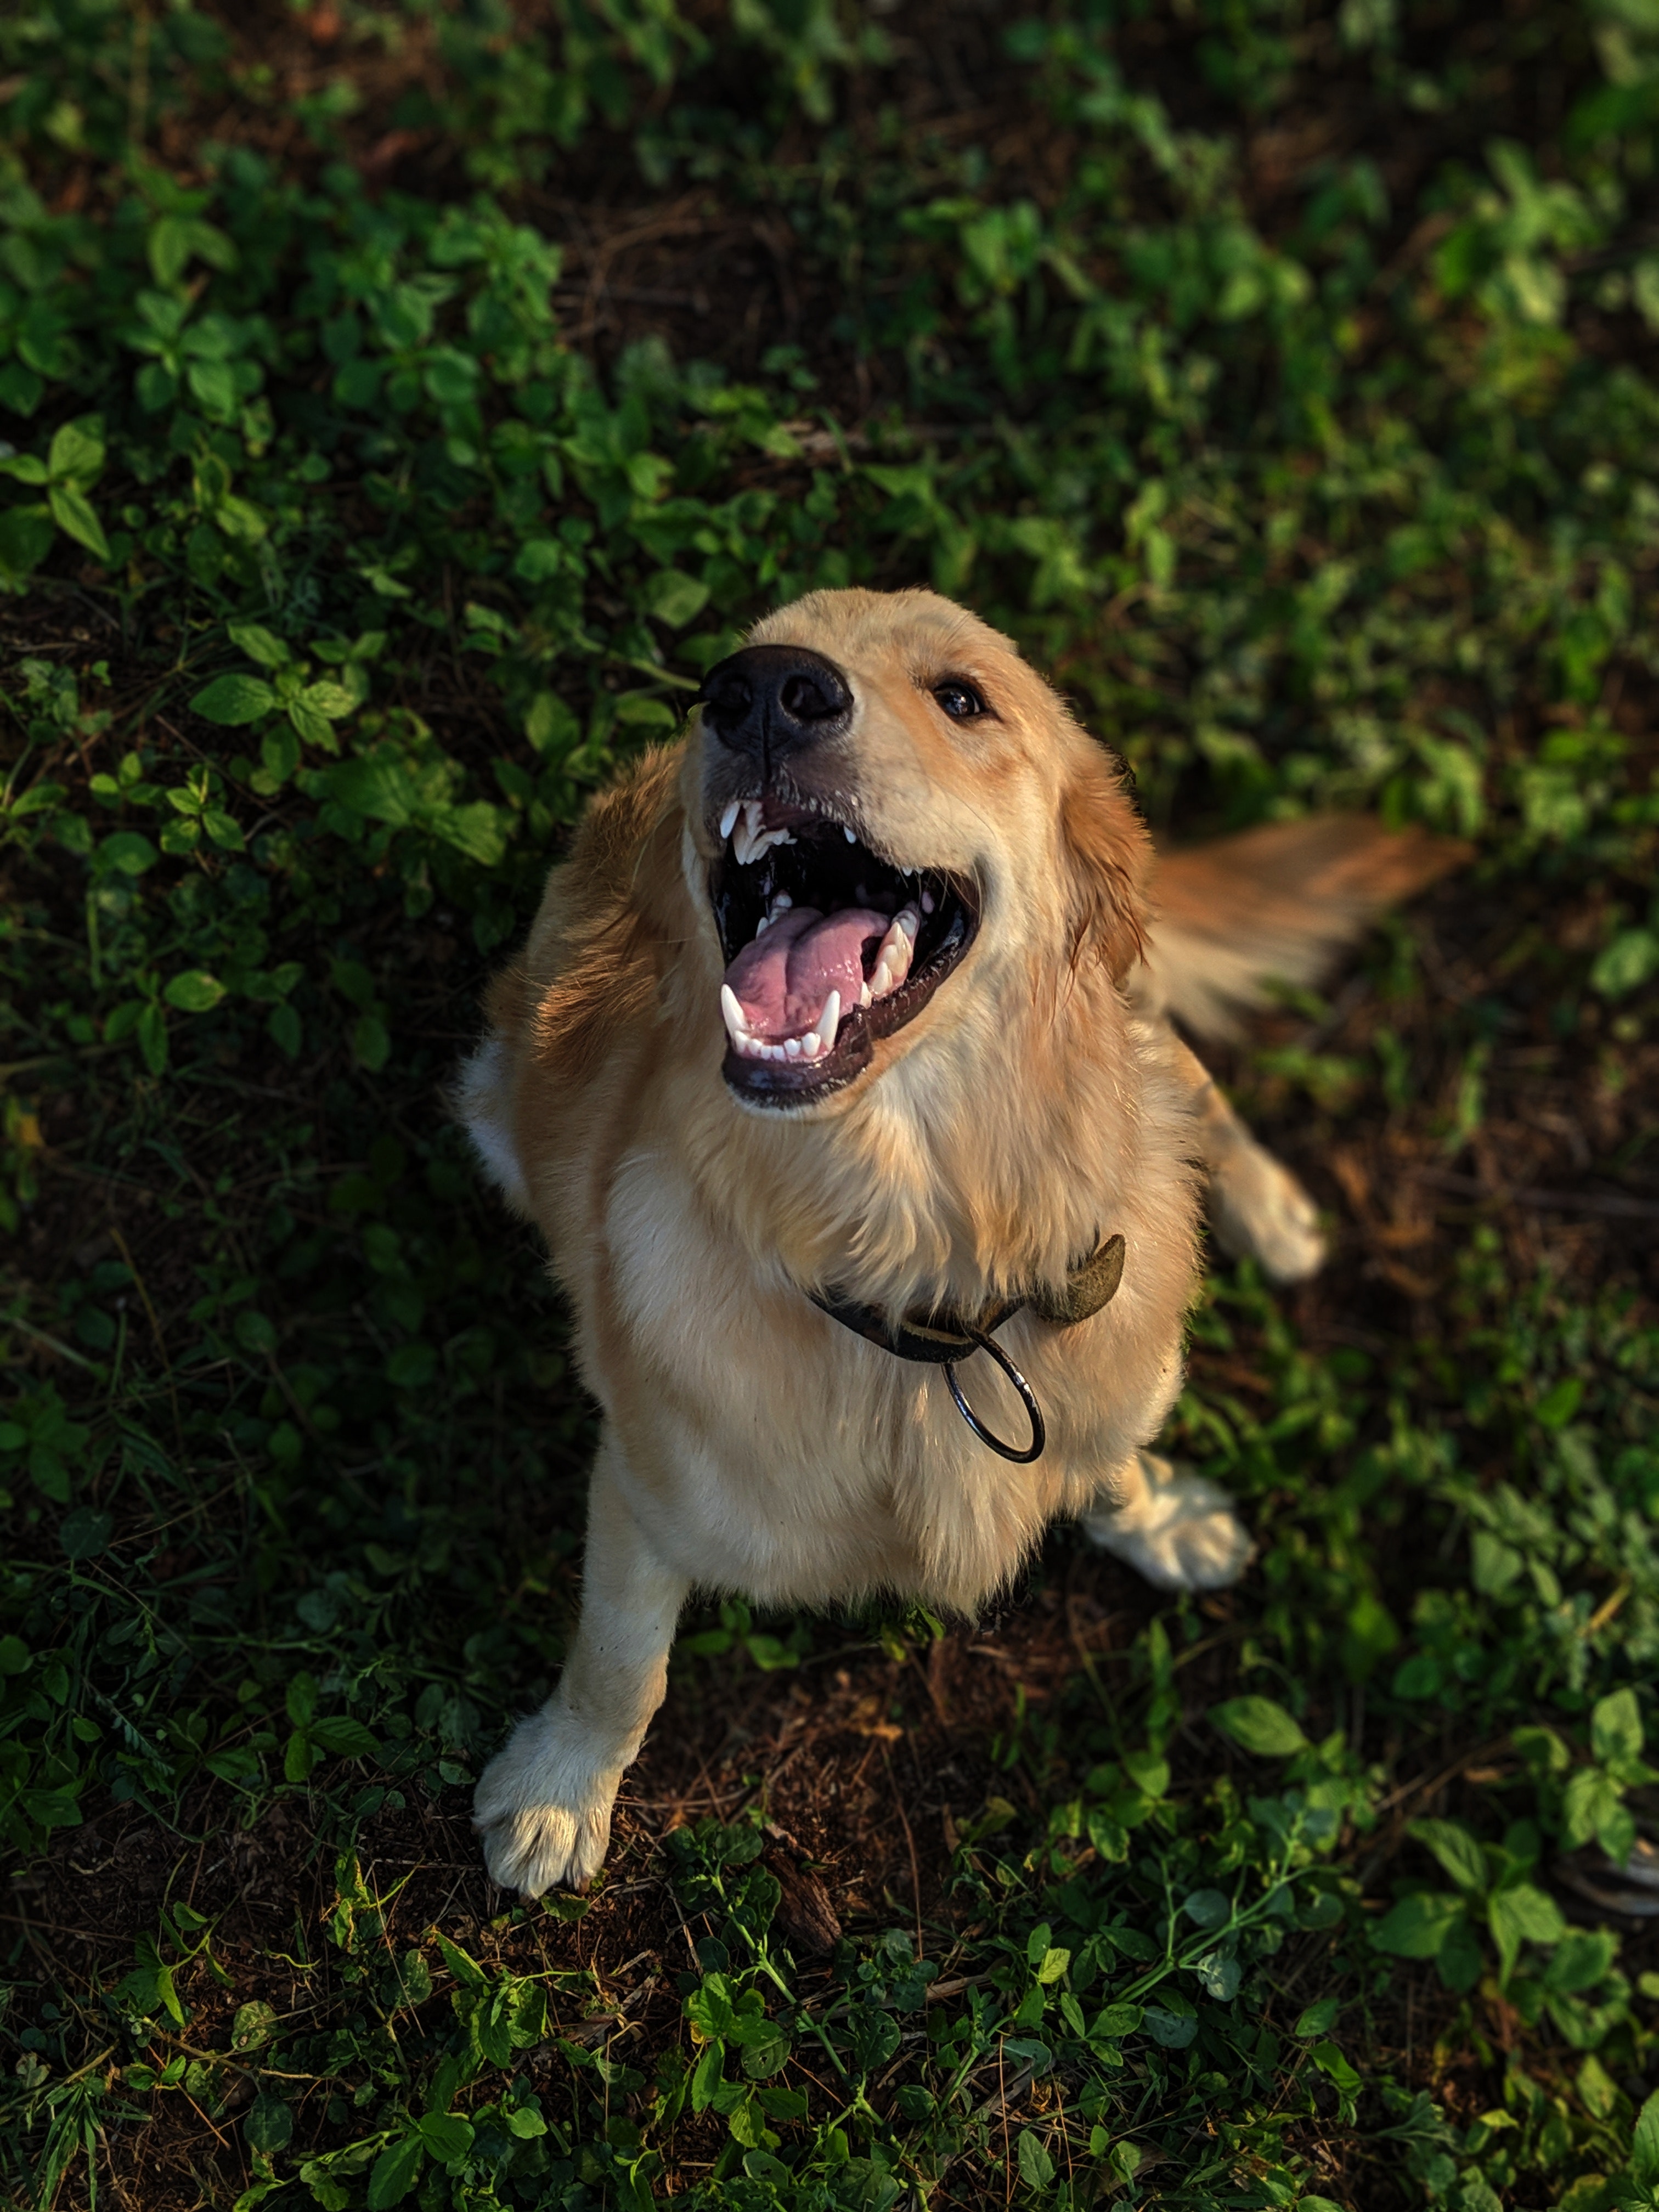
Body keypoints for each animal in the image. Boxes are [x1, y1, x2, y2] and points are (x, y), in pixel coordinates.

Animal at [455, 579, 1451, 1893]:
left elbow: (1114, 1456)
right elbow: (621, 1665)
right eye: (734, 671)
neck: (929, 1267)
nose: (758, 691)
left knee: (1191, 1075)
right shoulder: (645, 1481)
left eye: (963, 697)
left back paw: (1274, 1210)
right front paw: (562, 1787)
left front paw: (1161, 1513)